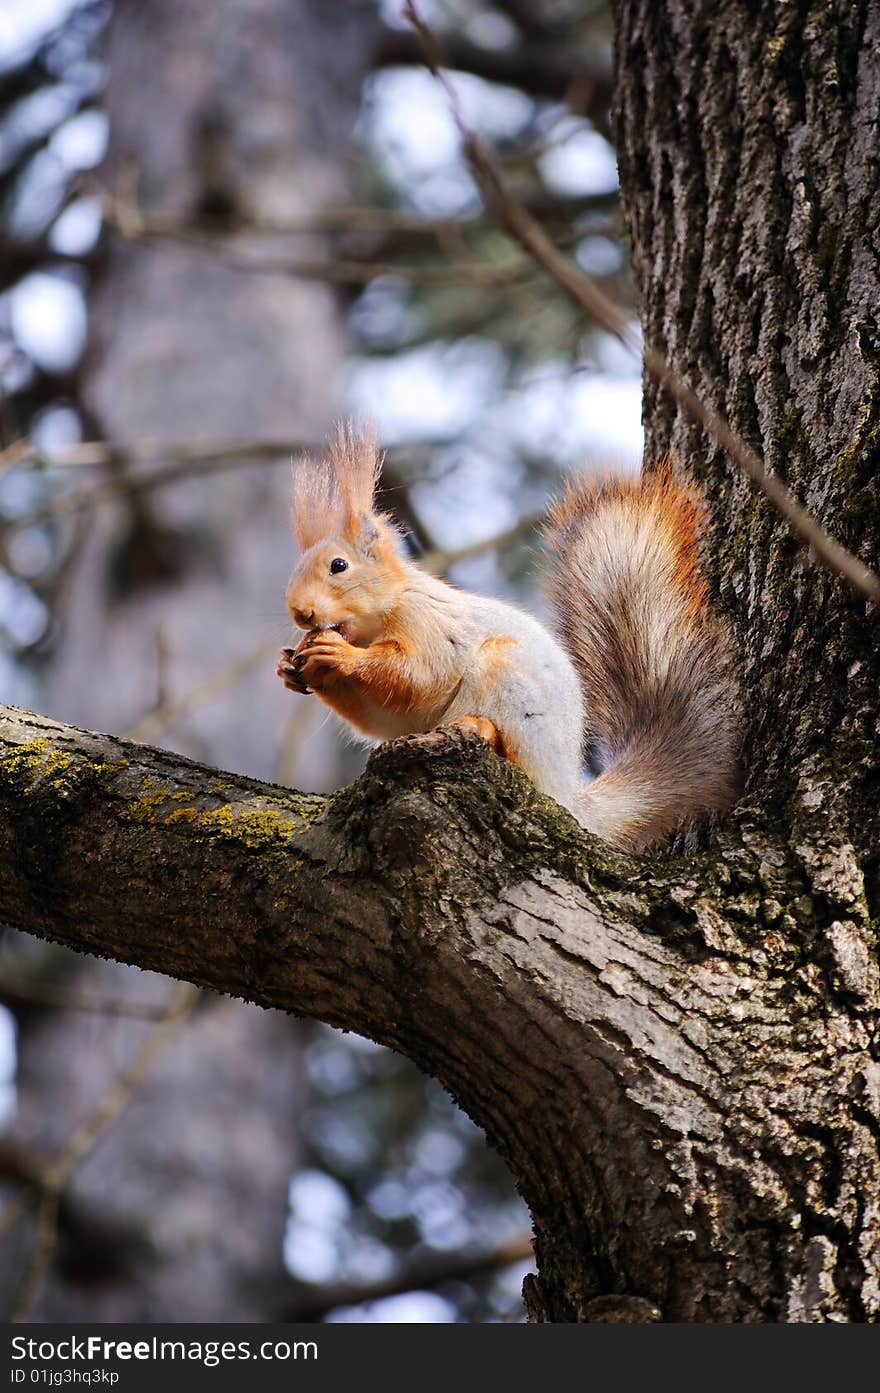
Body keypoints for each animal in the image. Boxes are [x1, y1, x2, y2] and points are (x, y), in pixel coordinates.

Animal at [278, 423, 740, 846]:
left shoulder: (429, 625)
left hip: (508, 678)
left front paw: (339, 655)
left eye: (339, 566)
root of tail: (567, 796)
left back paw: (483, 730)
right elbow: (385, 716)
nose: (300, 612)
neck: (384, 613)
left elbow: (418, 676)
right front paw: (292, 668)